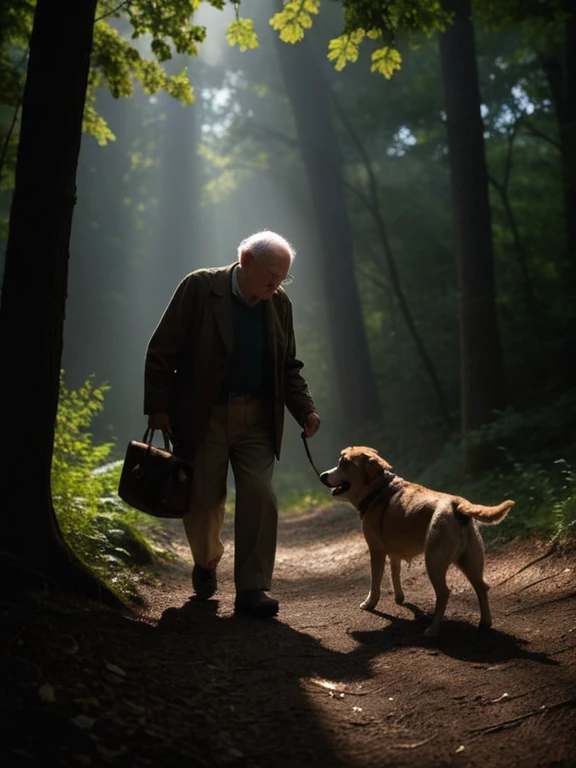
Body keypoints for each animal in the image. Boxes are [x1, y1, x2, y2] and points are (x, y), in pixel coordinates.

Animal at [320, 448, 512, 640]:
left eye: (344, 463)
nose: (322, 476)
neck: (379, 489)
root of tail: (457, 504)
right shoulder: (394, 553)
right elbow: (395, 574)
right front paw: (399, 598)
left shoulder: (376, 551)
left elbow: (375, 583)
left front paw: (369, 604)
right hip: (469, 561)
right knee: (482, 586)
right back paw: (485, 623)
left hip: (433, 562)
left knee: (444, 593)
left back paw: (433, 630)